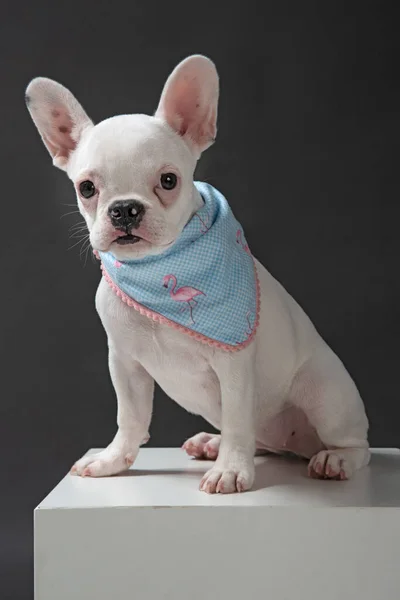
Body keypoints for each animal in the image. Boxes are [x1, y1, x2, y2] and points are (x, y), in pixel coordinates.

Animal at [25, 52, 368, 492]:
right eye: (86, 188)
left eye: (169, 180)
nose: (124, 209)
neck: (157, 274)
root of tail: (299, 446)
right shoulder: (124, 362)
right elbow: (130, 417)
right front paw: (113, 460)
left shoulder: (233, 365)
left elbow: (238, 419)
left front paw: (230, 470)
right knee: (262, 441)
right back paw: (212, 442)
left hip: (324, 393)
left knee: (352, 444)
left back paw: (333, 460)